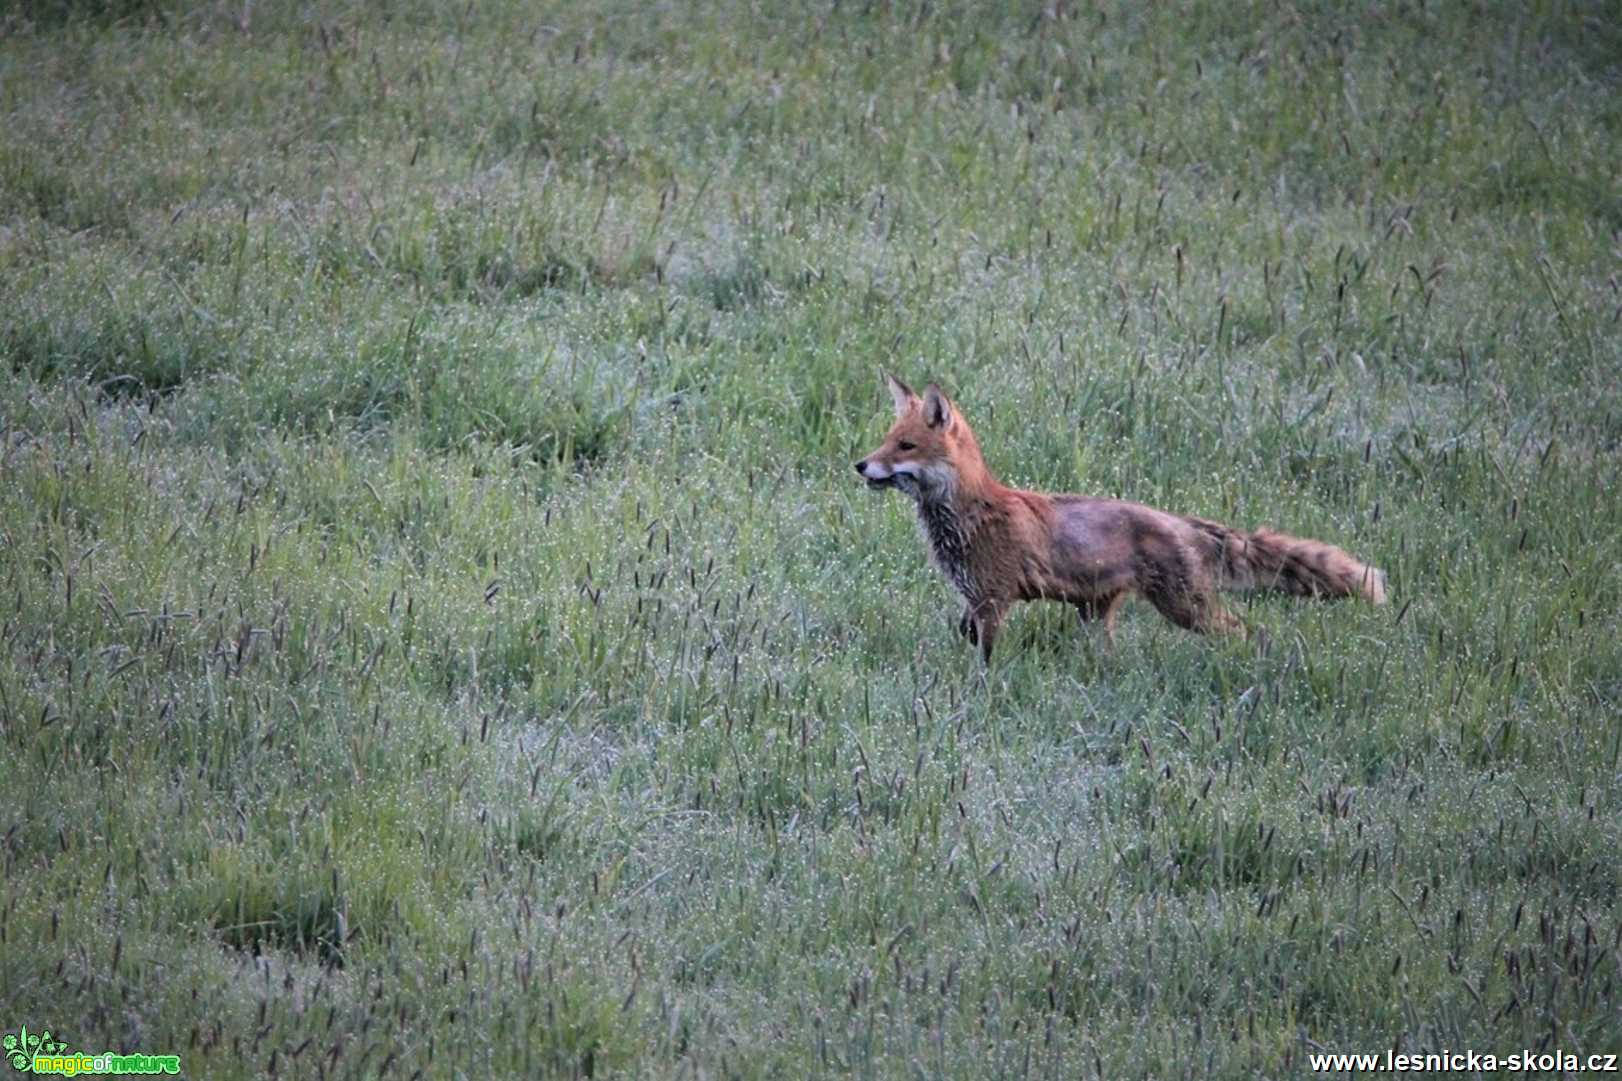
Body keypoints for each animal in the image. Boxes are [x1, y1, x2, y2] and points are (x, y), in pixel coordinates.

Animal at [856, 374, 1388, 662]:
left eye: (905, 446)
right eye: (885, 441)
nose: (860, 465)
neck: (970, 514)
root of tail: (1179, 520)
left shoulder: (993, 599)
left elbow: (984, 659)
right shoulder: (975, 601)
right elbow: (963, 633)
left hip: (1185, 608)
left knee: (1247, 631)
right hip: (1097, 615)